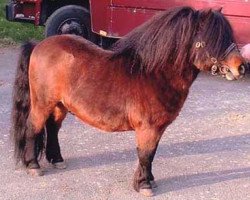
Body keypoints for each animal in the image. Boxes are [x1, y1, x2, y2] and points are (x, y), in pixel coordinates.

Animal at [11, 6, 244, 197]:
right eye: (214, 38)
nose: (241, 67)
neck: (154, 73)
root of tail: (38, 45)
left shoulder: (157, 129)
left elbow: (151, 154)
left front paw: (149, 180)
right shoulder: (148, 128)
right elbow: (145, 154)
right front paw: (144, 185)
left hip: (60, 105)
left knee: (52, 127)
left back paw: (57, 160)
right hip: (42, 103)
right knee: (33, 127)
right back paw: (33, 166)